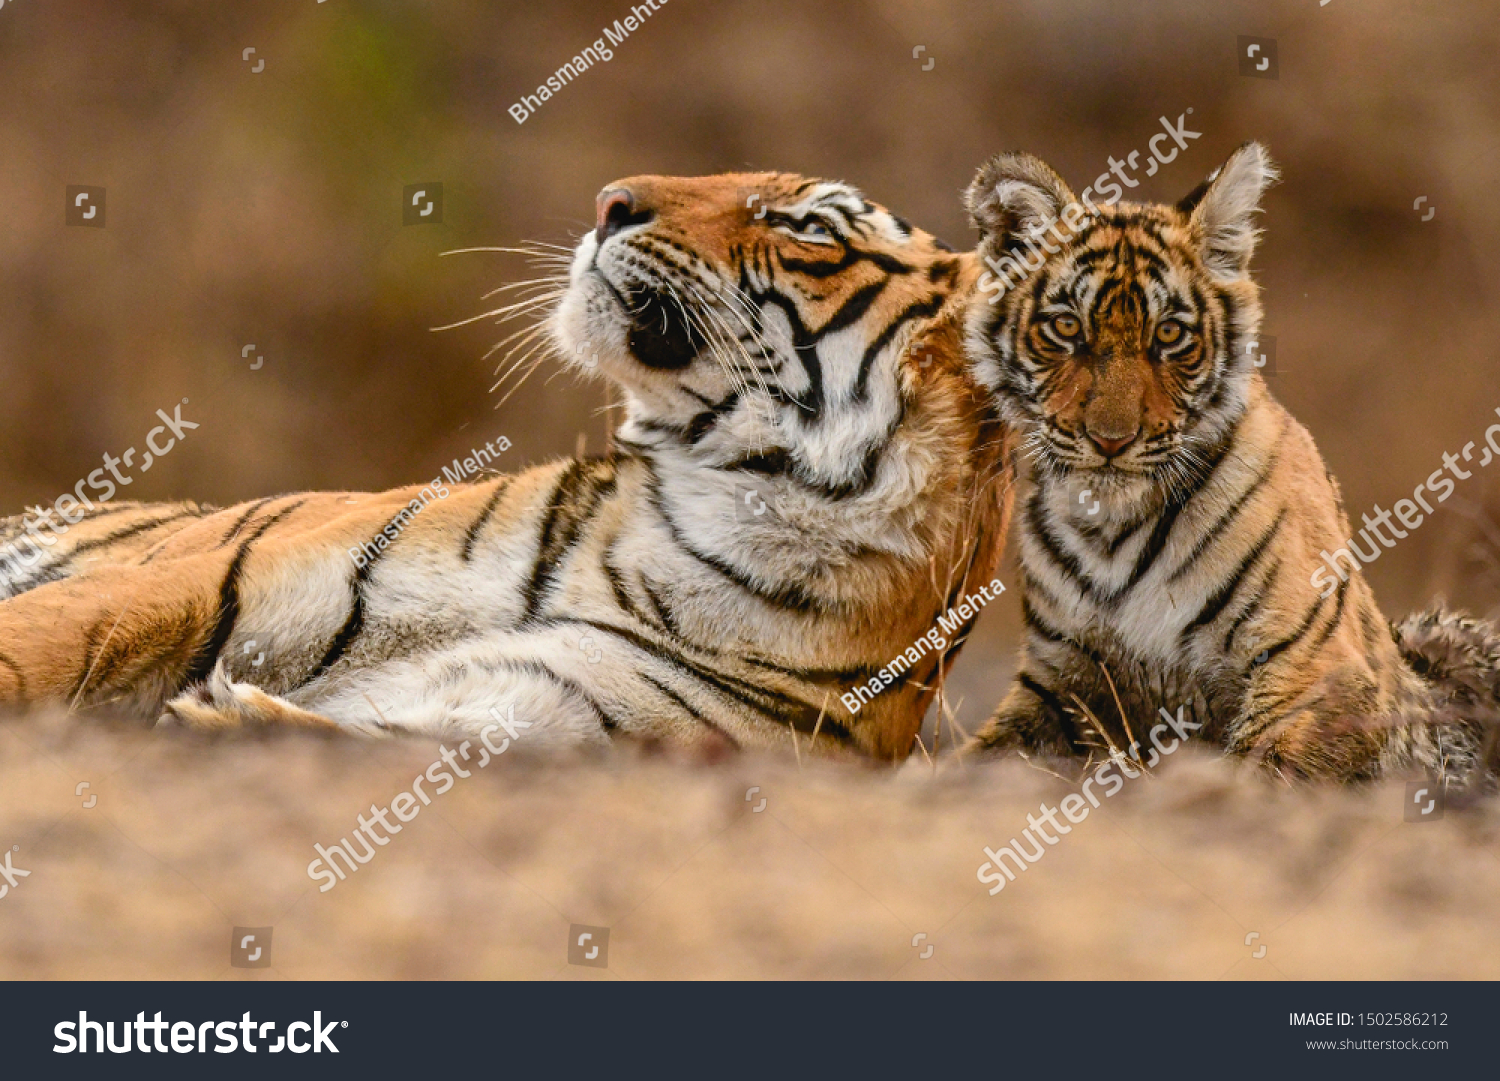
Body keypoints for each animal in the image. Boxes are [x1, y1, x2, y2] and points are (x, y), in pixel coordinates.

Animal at [0, 171, 1013, 761]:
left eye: (806, 228)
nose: (610, 202)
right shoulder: (223, 581)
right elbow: (38, 640)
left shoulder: (544, 711)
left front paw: (232, 718)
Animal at [959, 141, 1498, 785]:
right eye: (1066, 327)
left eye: (1170, 334)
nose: (1111, 440)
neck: (1111, 530)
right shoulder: (1060, 681)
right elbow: (978, 755)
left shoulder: (1317, 665)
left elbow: (1265, 766)